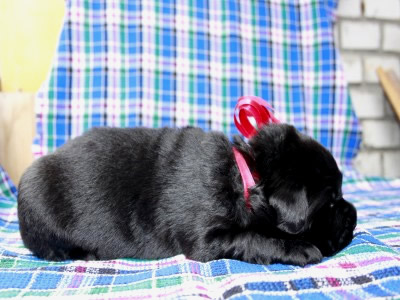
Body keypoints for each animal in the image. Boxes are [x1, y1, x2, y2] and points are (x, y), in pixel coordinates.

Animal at [18, 123, 356, 264]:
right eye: (330, 203)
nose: (353, 214)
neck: (245, 173)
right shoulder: (207, 236)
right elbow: (253, 237)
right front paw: (299, 249)